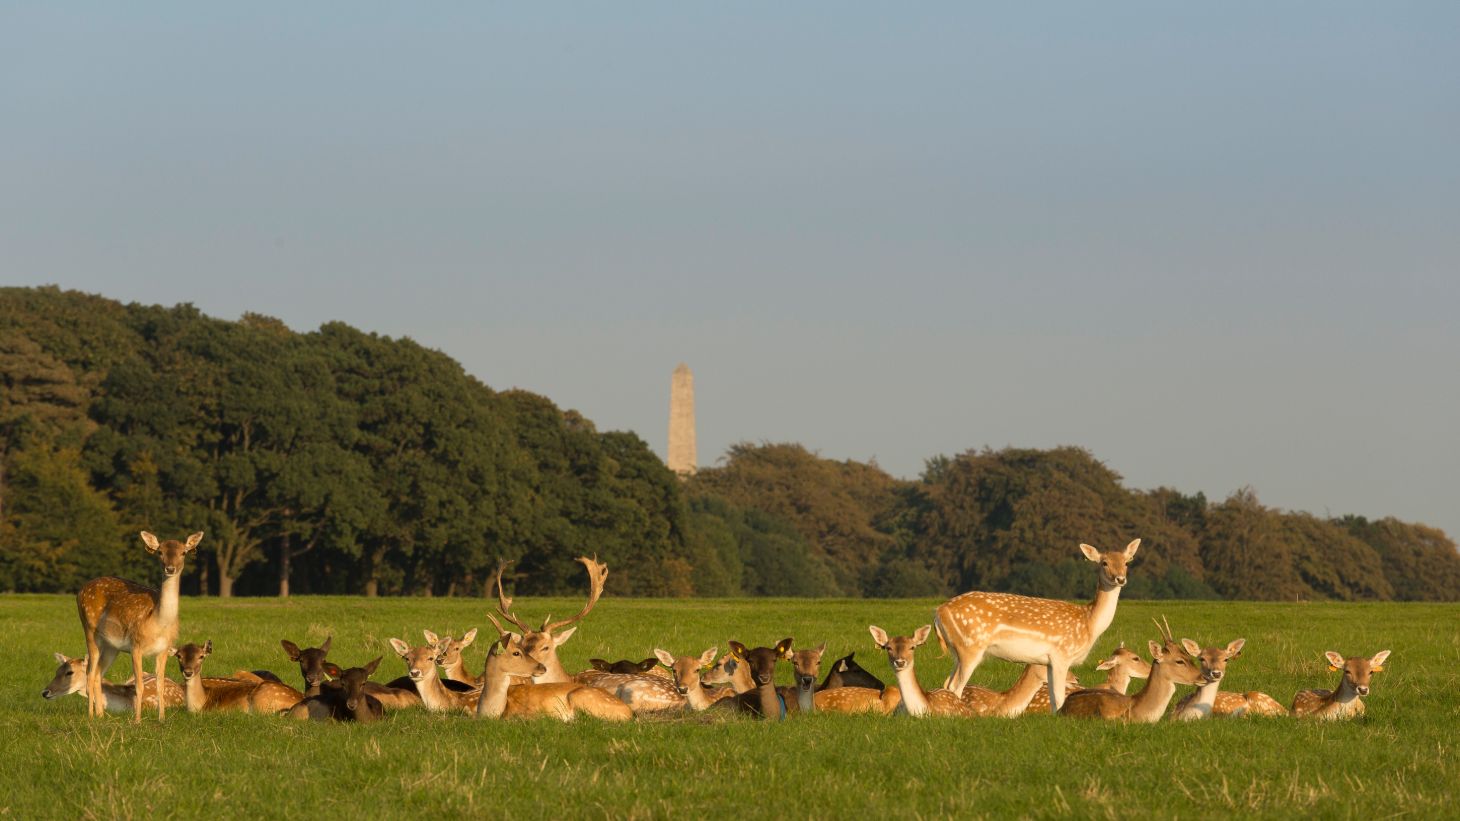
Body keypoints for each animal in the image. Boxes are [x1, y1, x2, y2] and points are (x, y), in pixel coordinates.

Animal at [76, 530, 202, 721]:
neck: (158, 623)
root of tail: (80, 591)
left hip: (112, 646)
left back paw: (101, 715)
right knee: (90, 673)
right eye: (160, 552)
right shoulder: (136, 645)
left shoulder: (164, 649)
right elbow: (139, 686)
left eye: (183, 552)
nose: (170, 569)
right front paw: (137, 721)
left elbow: (160, 685)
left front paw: (162, 719)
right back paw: (91, 715)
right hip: (89, 629)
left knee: (98, 674)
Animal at [934, 538, 1140, 712]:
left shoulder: (1047, 661)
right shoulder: (1061, 655)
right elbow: (1058, 696)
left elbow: (1053, 698)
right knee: (955, 685)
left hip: (957, 651)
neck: (1089, 622)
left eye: (1126, 562)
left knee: (947, 684)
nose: (1120, 579)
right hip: (970, 647)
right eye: (1104, 562)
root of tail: (938, 612)